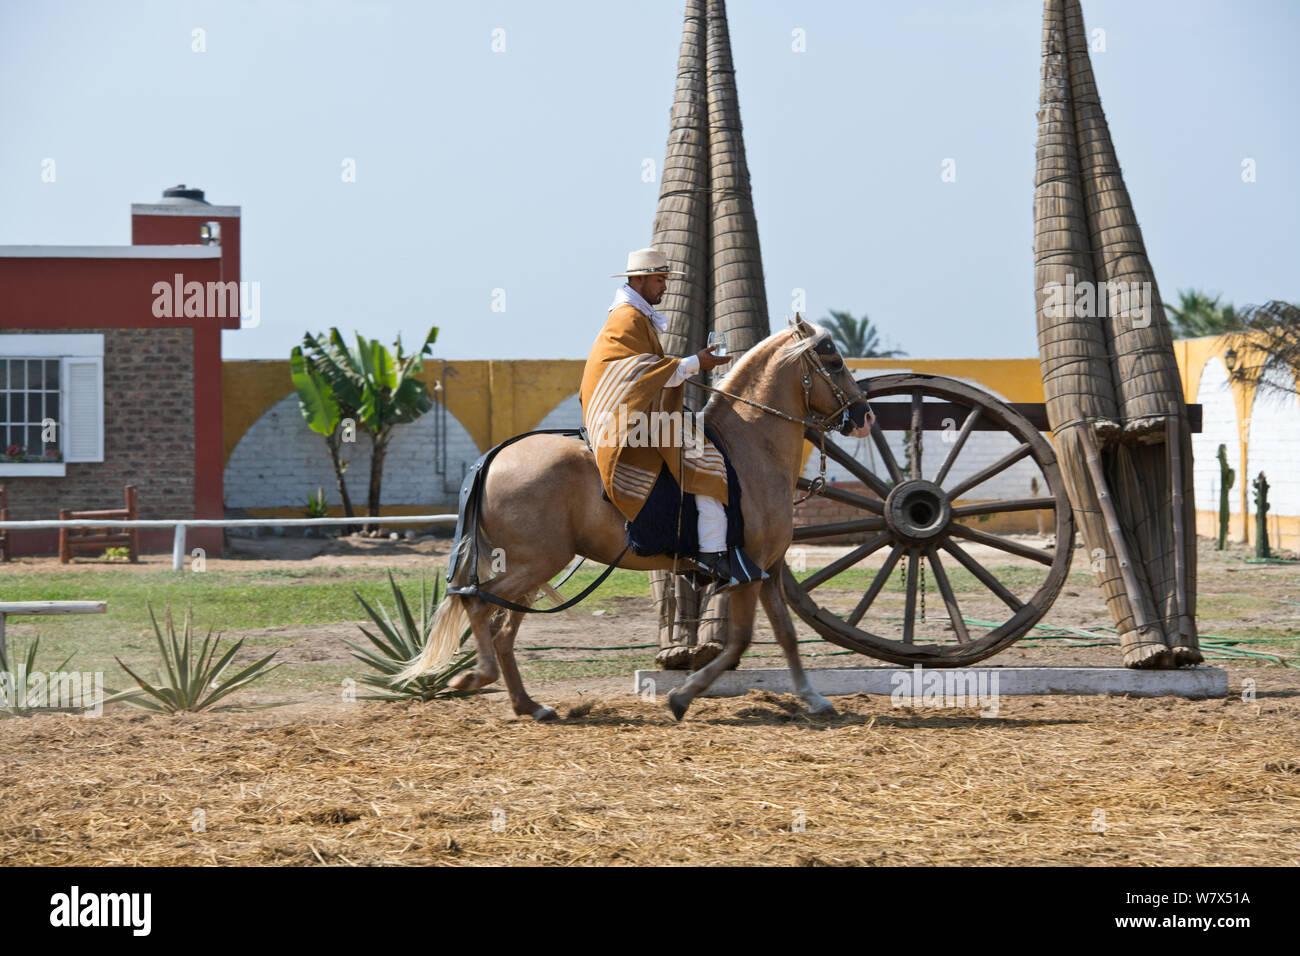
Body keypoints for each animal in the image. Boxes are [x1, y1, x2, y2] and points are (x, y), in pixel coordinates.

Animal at [397, 317, 873, 723]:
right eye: (833, 360)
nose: (865, 416)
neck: (751, 445)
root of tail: (495, 457)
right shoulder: (747, 571)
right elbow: (739, 642)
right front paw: (682, 696)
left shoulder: (767, 569)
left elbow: (787, 635)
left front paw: (813, 697)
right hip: (535, 563)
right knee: (478, 605)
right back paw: (477, 676)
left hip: (531, 569)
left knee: (501, 630)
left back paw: (530, 705)